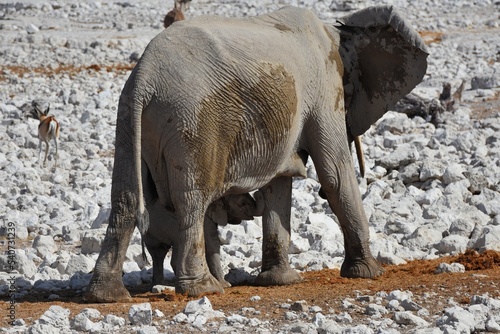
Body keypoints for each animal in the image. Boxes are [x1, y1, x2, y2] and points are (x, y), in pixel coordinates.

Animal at [85, 5, 426, 302]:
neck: (337, 31)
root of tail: (144, 78)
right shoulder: (324, 86)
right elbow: (334, 173)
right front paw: (369, 272)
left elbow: (279, 184)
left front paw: (280, 281)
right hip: (191, 121)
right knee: (192, 200)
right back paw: (204, 289)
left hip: (127, 118)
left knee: (126, 197)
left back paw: (107, 295)